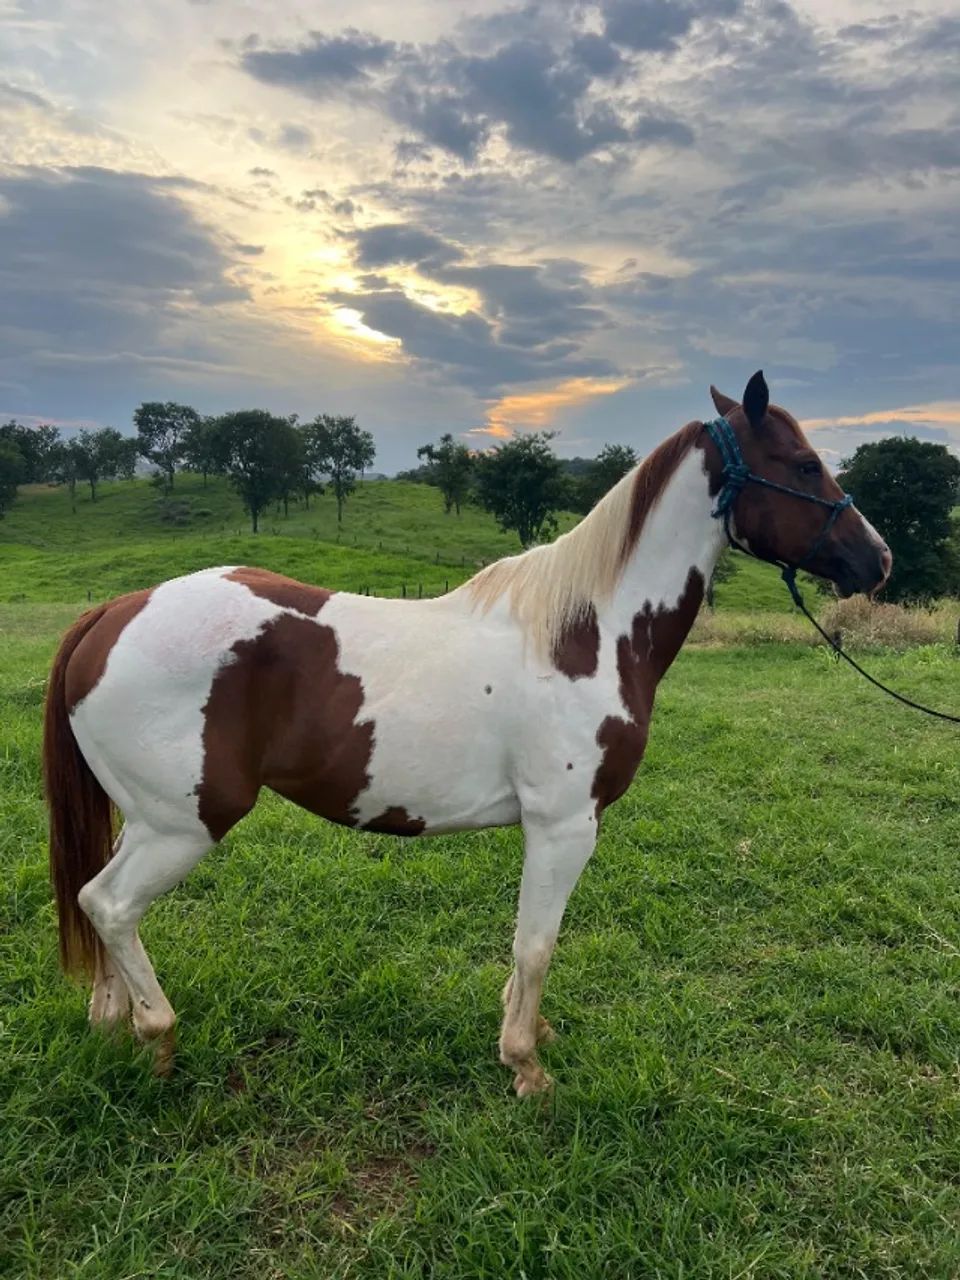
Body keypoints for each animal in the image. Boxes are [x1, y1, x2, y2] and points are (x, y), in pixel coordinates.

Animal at [44, 372, 891, 1096]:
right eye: (805, 464)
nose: (877, 559)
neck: (585, 635)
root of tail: (113, 613)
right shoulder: (563, 826)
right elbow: (536, 945)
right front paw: (525, 1067)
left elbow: (528, 949)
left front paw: (532, 1037)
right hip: (184, 825)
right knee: (109, 905)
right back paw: (157, 1036)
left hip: (146, 819)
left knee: (97, 904)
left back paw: (112, 1022)